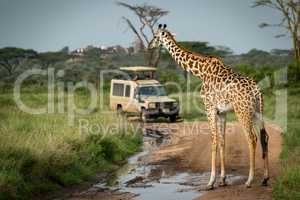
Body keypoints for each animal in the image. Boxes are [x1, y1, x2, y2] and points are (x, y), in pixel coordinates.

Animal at [149, 24, 270, 190]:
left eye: (155, 36)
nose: (149, 45)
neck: (200, 71)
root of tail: (257, 90)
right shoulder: (222, 112)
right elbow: (222, 142)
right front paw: (223, 180)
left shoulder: (209, 108)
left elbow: (213, 141)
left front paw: (211, 182)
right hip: (257, 111)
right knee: (264, 137)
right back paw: (265, 179)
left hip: (242, 111)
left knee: (252, 138)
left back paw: (249, 181)